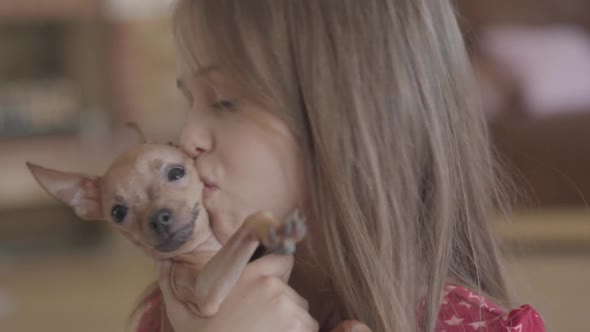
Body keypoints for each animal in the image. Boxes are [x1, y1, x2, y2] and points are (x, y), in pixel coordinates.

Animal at [25, 124, 308, 320]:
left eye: (176, 172)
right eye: (117, 213)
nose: (158, 219)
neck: (205, 251)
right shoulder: (202, 293)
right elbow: (250, 221)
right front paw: (272, 228)